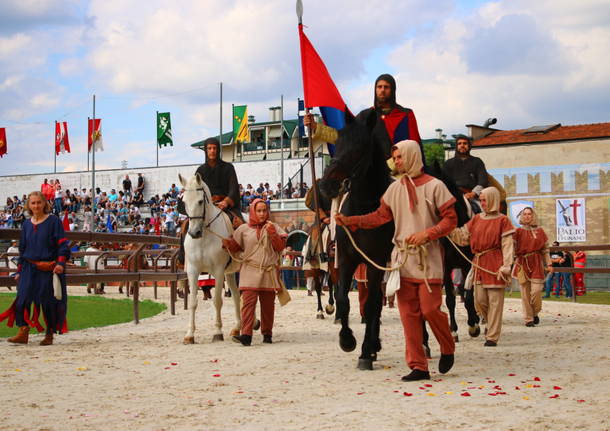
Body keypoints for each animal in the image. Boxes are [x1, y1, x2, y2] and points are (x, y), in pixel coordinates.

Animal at [176, 172, 240, 344]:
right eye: (184, 201)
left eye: (200, 201)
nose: (194, 232)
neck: (205, 236)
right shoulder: (193, 270)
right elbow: (192, 302)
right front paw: (189, 334)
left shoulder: (218, 271)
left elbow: (217, 300)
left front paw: (217, 332)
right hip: (230, 273)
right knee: (236, 294)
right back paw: (238, 327)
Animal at [318, 109, 390, 370]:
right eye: (337, 144)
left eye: (359, 148)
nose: (326, 185)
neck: (363, 210)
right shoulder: (346, 261)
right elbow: (342, 300)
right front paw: (347, 340)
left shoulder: (375, 263)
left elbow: (371, 305)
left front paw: (365, 352)